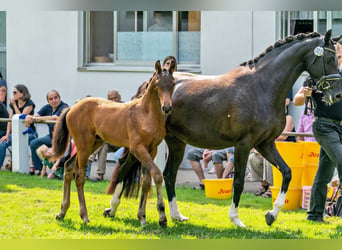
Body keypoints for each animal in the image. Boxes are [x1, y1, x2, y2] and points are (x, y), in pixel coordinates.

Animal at [53, 60, 176, 227]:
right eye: (157, 84)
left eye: (172, 83)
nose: (167, 107)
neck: (146, 114)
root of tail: (72, 107)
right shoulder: (138, 148)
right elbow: (157, 175)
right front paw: (162, 216)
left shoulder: (152, 150)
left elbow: (145, 181)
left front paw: (142, 217)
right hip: (84, 145)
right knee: (79, 176)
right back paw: (84, 216)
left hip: (93, 144)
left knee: (68, 166)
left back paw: (62, 212)